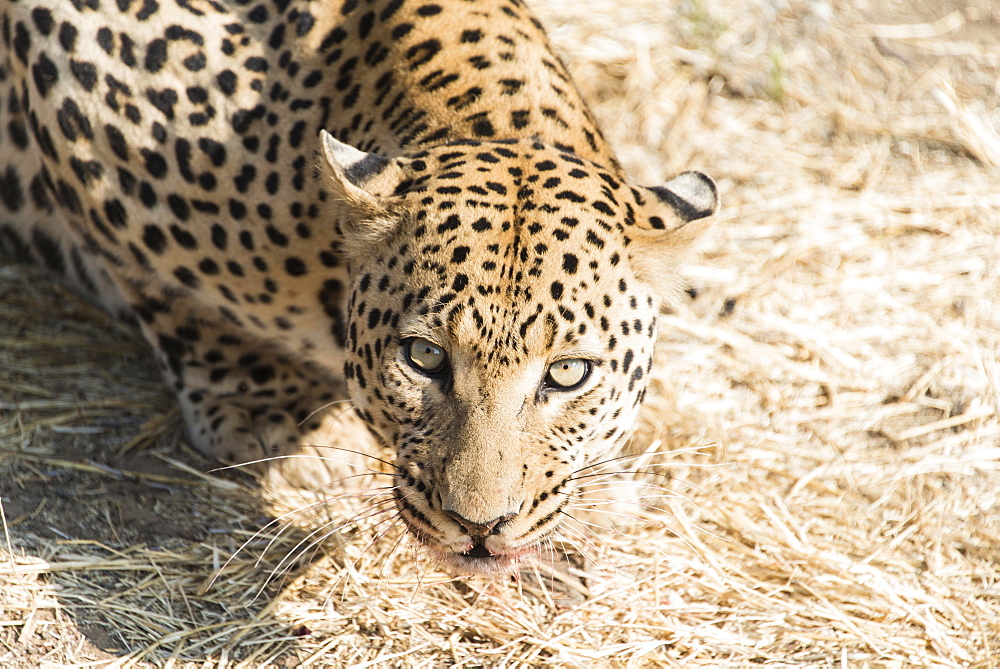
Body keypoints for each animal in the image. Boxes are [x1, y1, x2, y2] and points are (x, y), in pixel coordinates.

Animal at [1, 0, 720, 576]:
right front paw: (262, 404)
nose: (480, 526)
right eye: (424, 357)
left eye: (569, 373)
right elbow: (165, 291)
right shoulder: (69, 59)